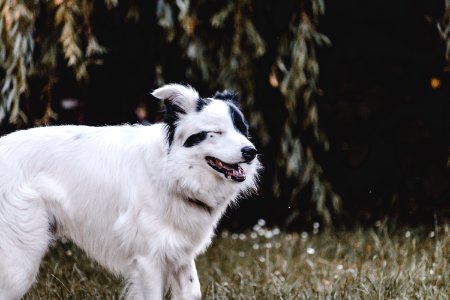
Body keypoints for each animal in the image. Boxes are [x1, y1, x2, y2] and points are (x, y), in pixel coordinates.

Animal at [0, 84, 260, 300]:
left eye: (242, 130)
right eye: (215, 133)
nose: (251, 152)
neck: (170, 172)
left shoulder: (178, 252)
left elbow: (192, 291)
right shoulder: (148, 260)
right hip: (20, 260)